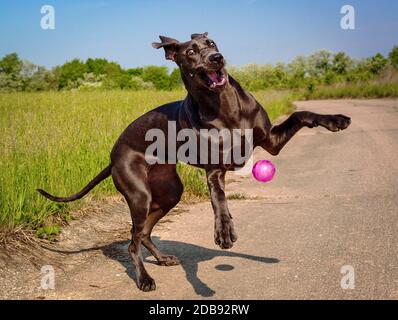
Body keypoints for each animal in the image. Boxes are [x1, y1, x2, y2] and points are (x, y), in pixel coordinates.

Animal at [36, 33, 348, 292]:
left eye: (211, 43)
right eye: (190, 52)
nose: (216, 58)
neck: (224, 105)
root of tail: (112, 156)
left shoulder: (271, 141)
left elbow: (301, 114)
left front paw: (335, 119)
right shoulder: (215, 170)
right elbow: (220, 200)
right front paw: (224, 231)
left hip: (170, 191)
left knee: (145, 233)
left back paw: (162, 258)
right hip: (139, 195)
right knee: (133, 241)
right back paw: (144, 278)